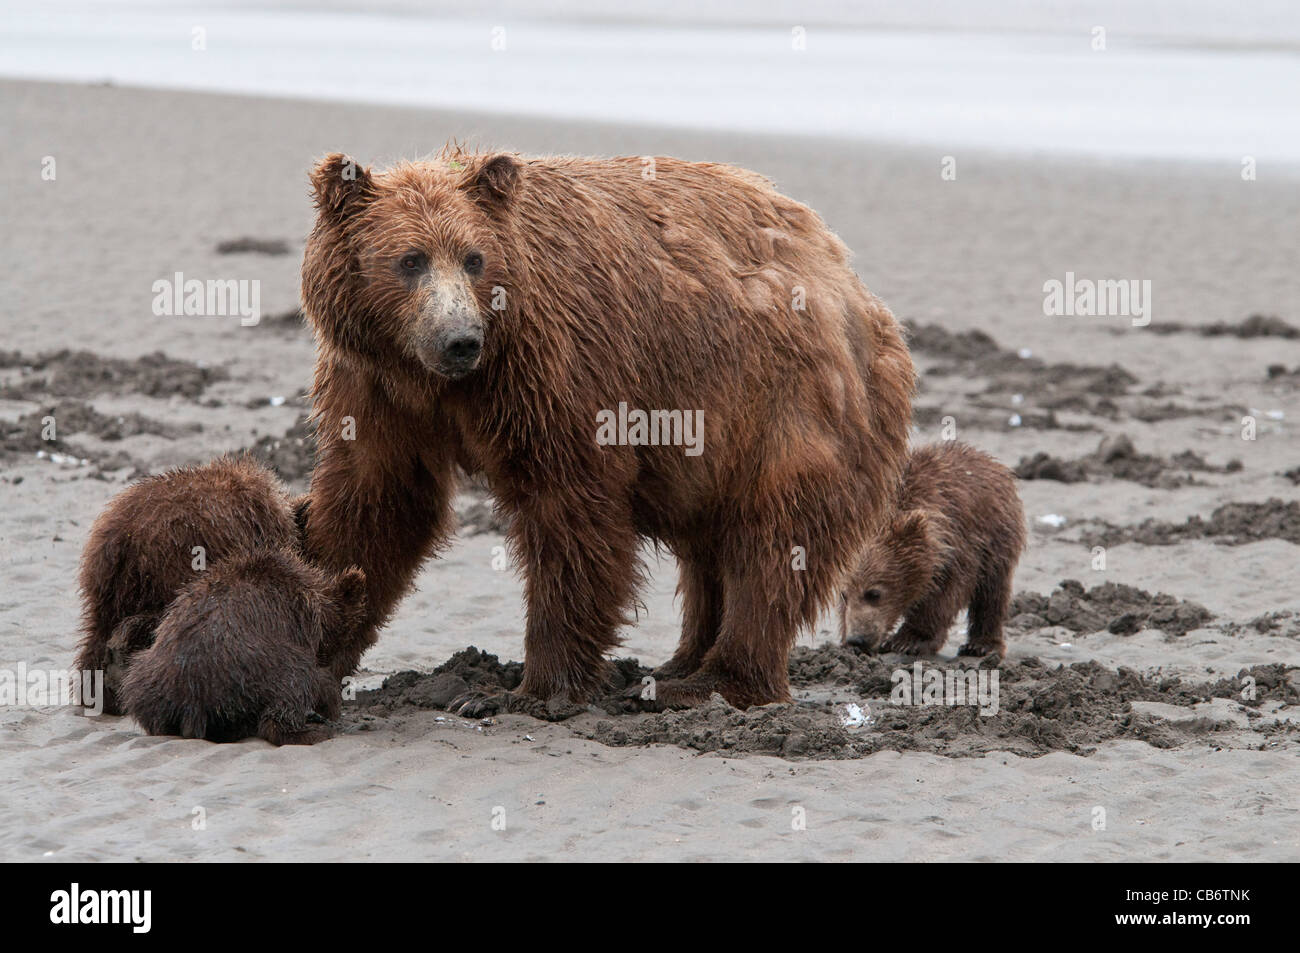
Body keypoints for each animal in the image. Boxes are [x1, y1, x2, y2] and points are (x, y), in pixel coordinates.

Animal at [299, 147, 915, 710]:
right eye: (410, 259)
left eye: (473, 258)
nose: (460, 339)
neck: (442, 383)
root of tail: (853, 283)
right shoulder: (375, 385)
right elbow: (379, 501)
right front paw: (322, 638)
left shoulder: (552, 367)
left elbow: (569, 505)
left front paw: (531, 687)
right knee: (711, 549)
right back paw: (681, 661)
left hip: (787, 405)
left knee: (771, 545)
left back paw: (713, 681)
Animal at [838, 441, 1026, 660]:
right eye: (844, 595)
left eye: (873, 593)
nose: (857, 639)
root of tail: (987, 459)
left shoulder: (958, 547)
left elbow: (943, 597)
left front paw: (908, 640)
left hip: (997, 538)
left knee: (992, 593)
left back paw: (981, 645)